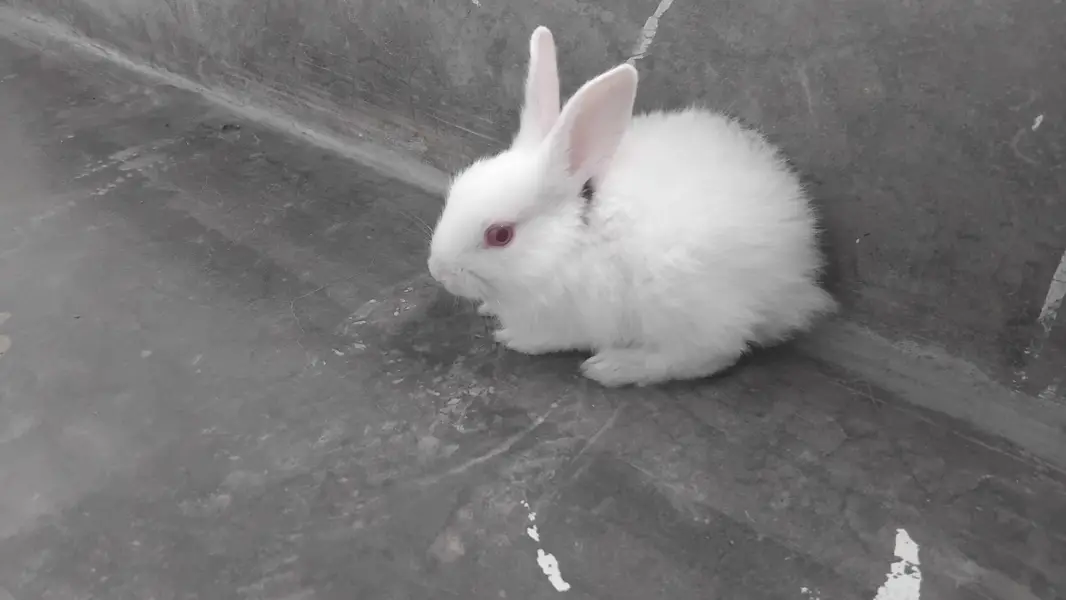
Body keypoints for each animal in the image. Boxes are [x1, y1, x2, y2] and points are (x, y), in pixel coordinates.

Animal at [427, 26, 836, 387]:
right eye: (457, 188)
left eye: (500, 235)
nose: (438, 270)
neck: (567, 246)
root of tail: (794, 276)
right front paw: (488, 308)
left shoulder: (573, 316)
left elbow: (549, 337)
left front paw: (512, 337)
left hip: (682, 303)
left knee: (707, 355)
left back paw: (614, 368)